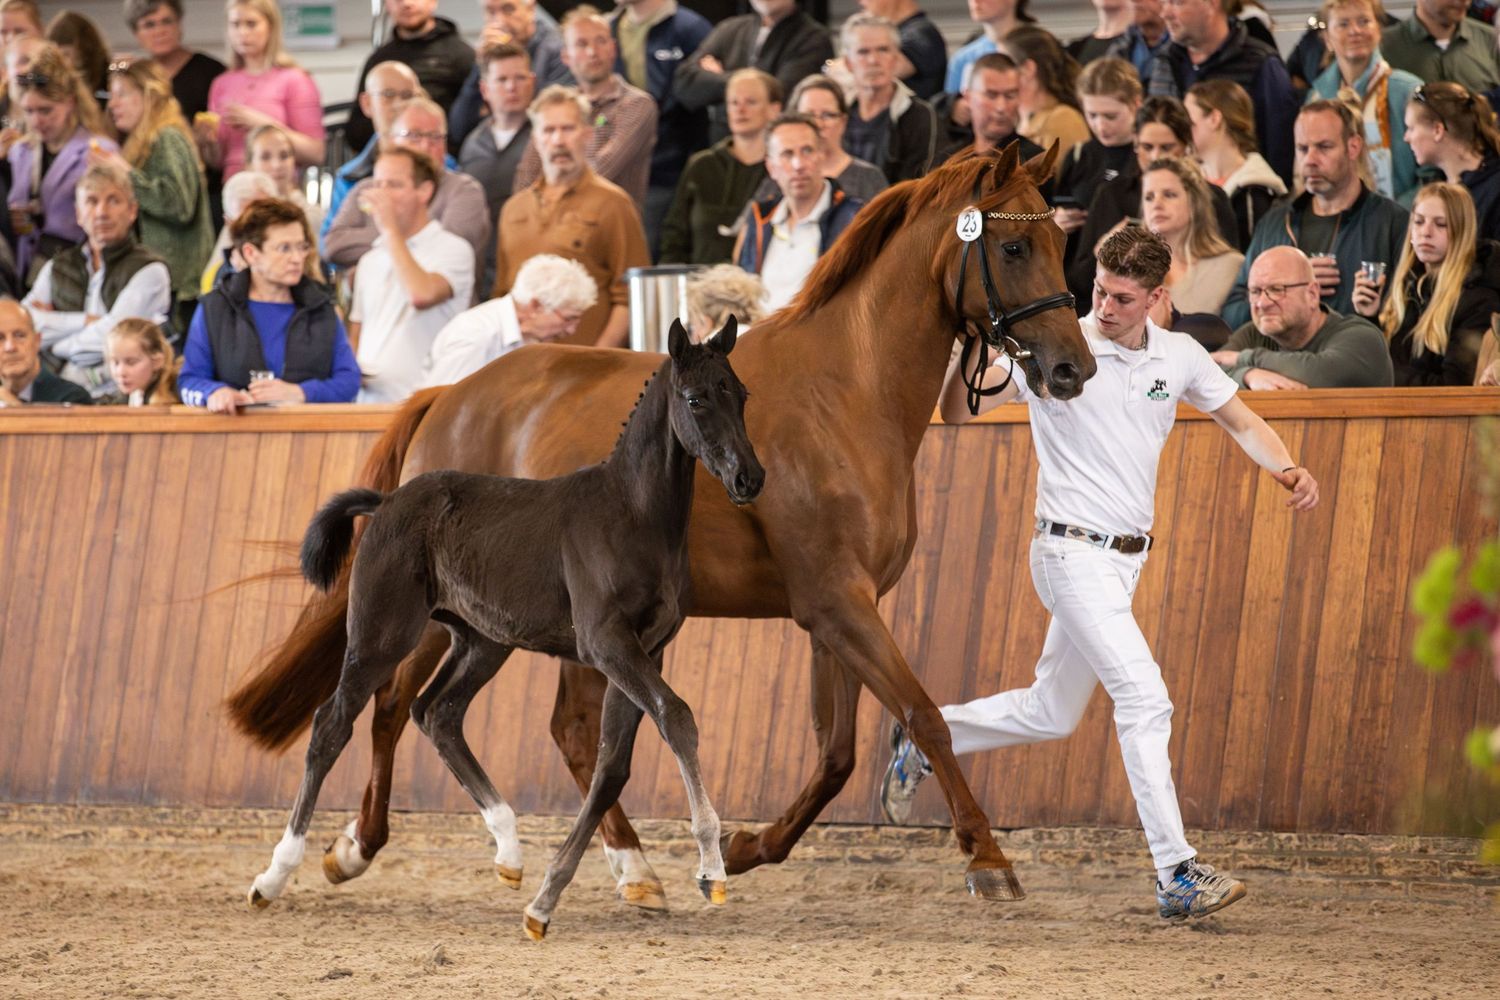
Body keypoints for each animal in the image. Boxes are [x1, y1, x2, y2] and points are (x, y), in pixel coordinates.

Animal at [247, 320, 763, 940]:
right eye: (695, 399)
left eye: (741, 394)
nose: (749, 478)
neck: (632, 516)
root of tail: (388, 500)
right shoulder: (606, 643)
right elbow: (676, 717)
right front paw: (711, 869)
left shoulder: (647, 649)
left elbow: (612, 765)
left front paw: (545, 902)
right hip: (382, 634)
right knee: (334, 724)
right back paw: (273, 876)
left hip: (481, 641)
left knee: (437, 713)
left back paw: (510, 853)